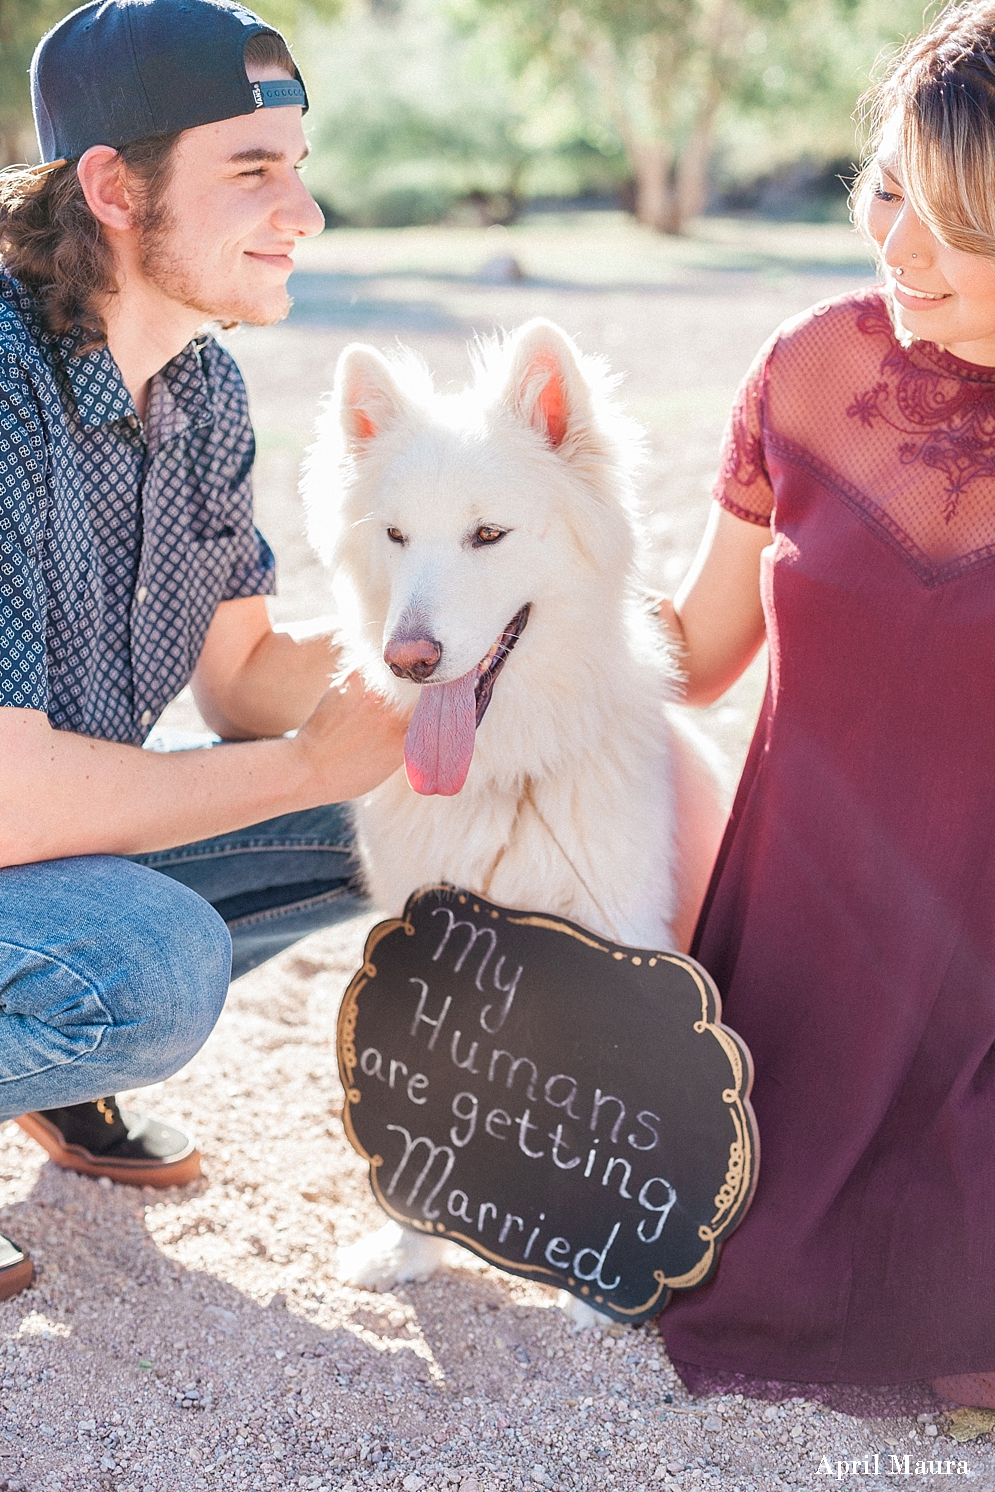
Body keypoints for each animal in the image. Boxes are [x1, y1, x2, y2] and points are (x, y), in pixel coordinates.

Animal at [299, 317, 727, 1318]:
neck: (502, 770)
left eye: (487, 534)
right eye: (395, 535)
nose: (408, 660)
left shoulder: (620, 939)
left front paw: (590, 1284)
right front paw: (409, 1245)